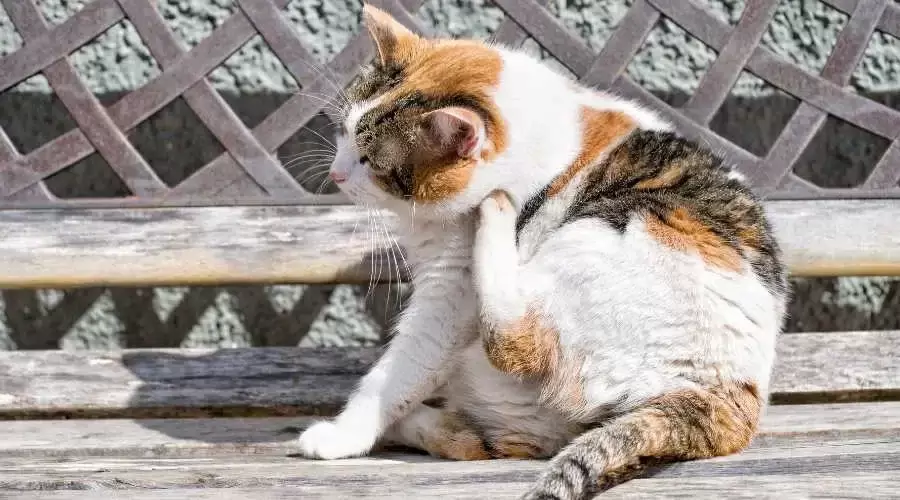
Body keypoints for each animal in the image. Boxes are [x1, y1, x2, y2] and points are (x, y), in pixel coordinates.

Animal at [298, 5, 788, 498]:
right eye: (343, 132)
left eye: (372, 163)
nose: (336, 173)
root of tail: (723, 400)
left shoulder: (450, 292)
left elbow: (400, 368)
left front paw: (342, 435)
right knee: (493, 441)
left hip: (608, 231)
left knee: (516, 346)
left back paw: (495, 215)